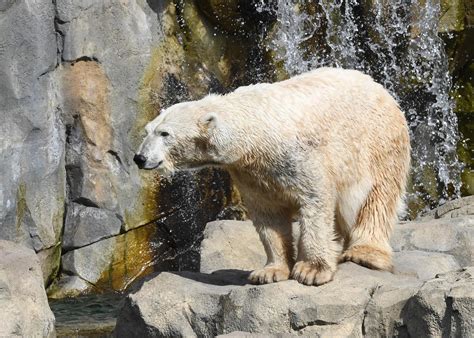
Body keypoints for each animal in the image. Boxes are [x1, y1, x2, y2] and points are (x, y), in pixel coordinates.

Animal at [134, 68, 412, 286]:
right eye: (148, 130)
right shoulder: (252, 173)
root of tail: (378, 86)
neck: (255, 130)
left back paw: (365, 253)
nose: (140, 158)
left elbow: (315, 201)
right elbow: (268, 216)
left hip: (377, 142)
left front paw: (312, 270)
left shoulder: (298, 156)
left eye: (165, 133)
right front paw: (269, 272)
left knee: (378, 196)